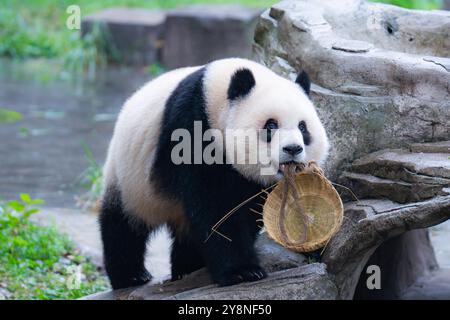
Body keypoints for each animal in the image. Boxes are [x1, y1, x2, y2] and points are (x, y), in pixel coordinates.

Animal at [100, 57, 328, 290]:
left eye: (303, 127)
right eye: (271, 125)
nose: (293, 149)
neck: (213, 101)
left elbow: (248, 208)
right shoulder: (189, 131)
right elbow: (215, 207)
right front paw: (242, 271)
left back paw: (187, 267)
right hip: (130, 178)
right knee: (123, 225)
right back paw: (131, 276)